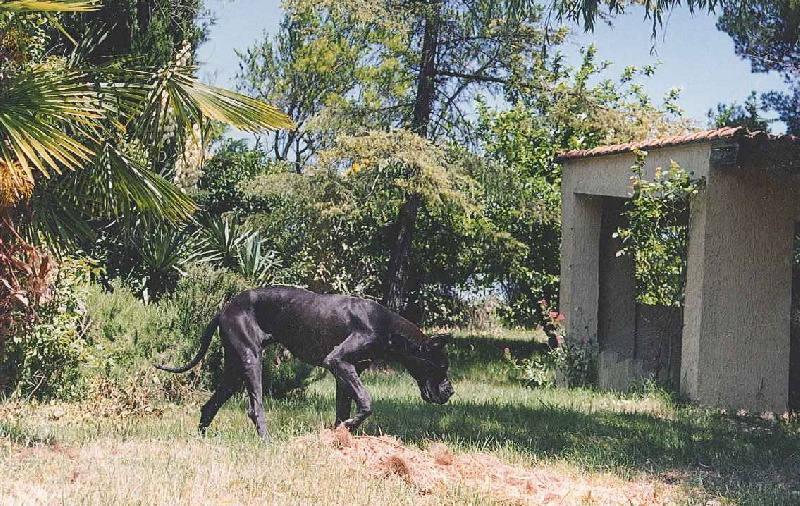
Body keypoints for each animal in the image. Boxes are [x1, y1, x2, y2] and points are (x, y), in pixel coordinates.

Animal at [155, 286, 456, 440]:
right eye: (442, 366)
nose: (451, 391)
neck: (388, 327)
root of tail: (223, 309)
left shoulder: (345, 371)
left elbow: (343, 409)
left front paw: (341, 437)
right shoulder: (337, 361)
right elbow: (366, 402)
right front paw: (349, 428)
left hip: (233, 369)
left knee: (209, 405)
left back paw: (201, 439)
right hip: (251, 360)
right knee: (255, 408)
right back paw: (267, 442)